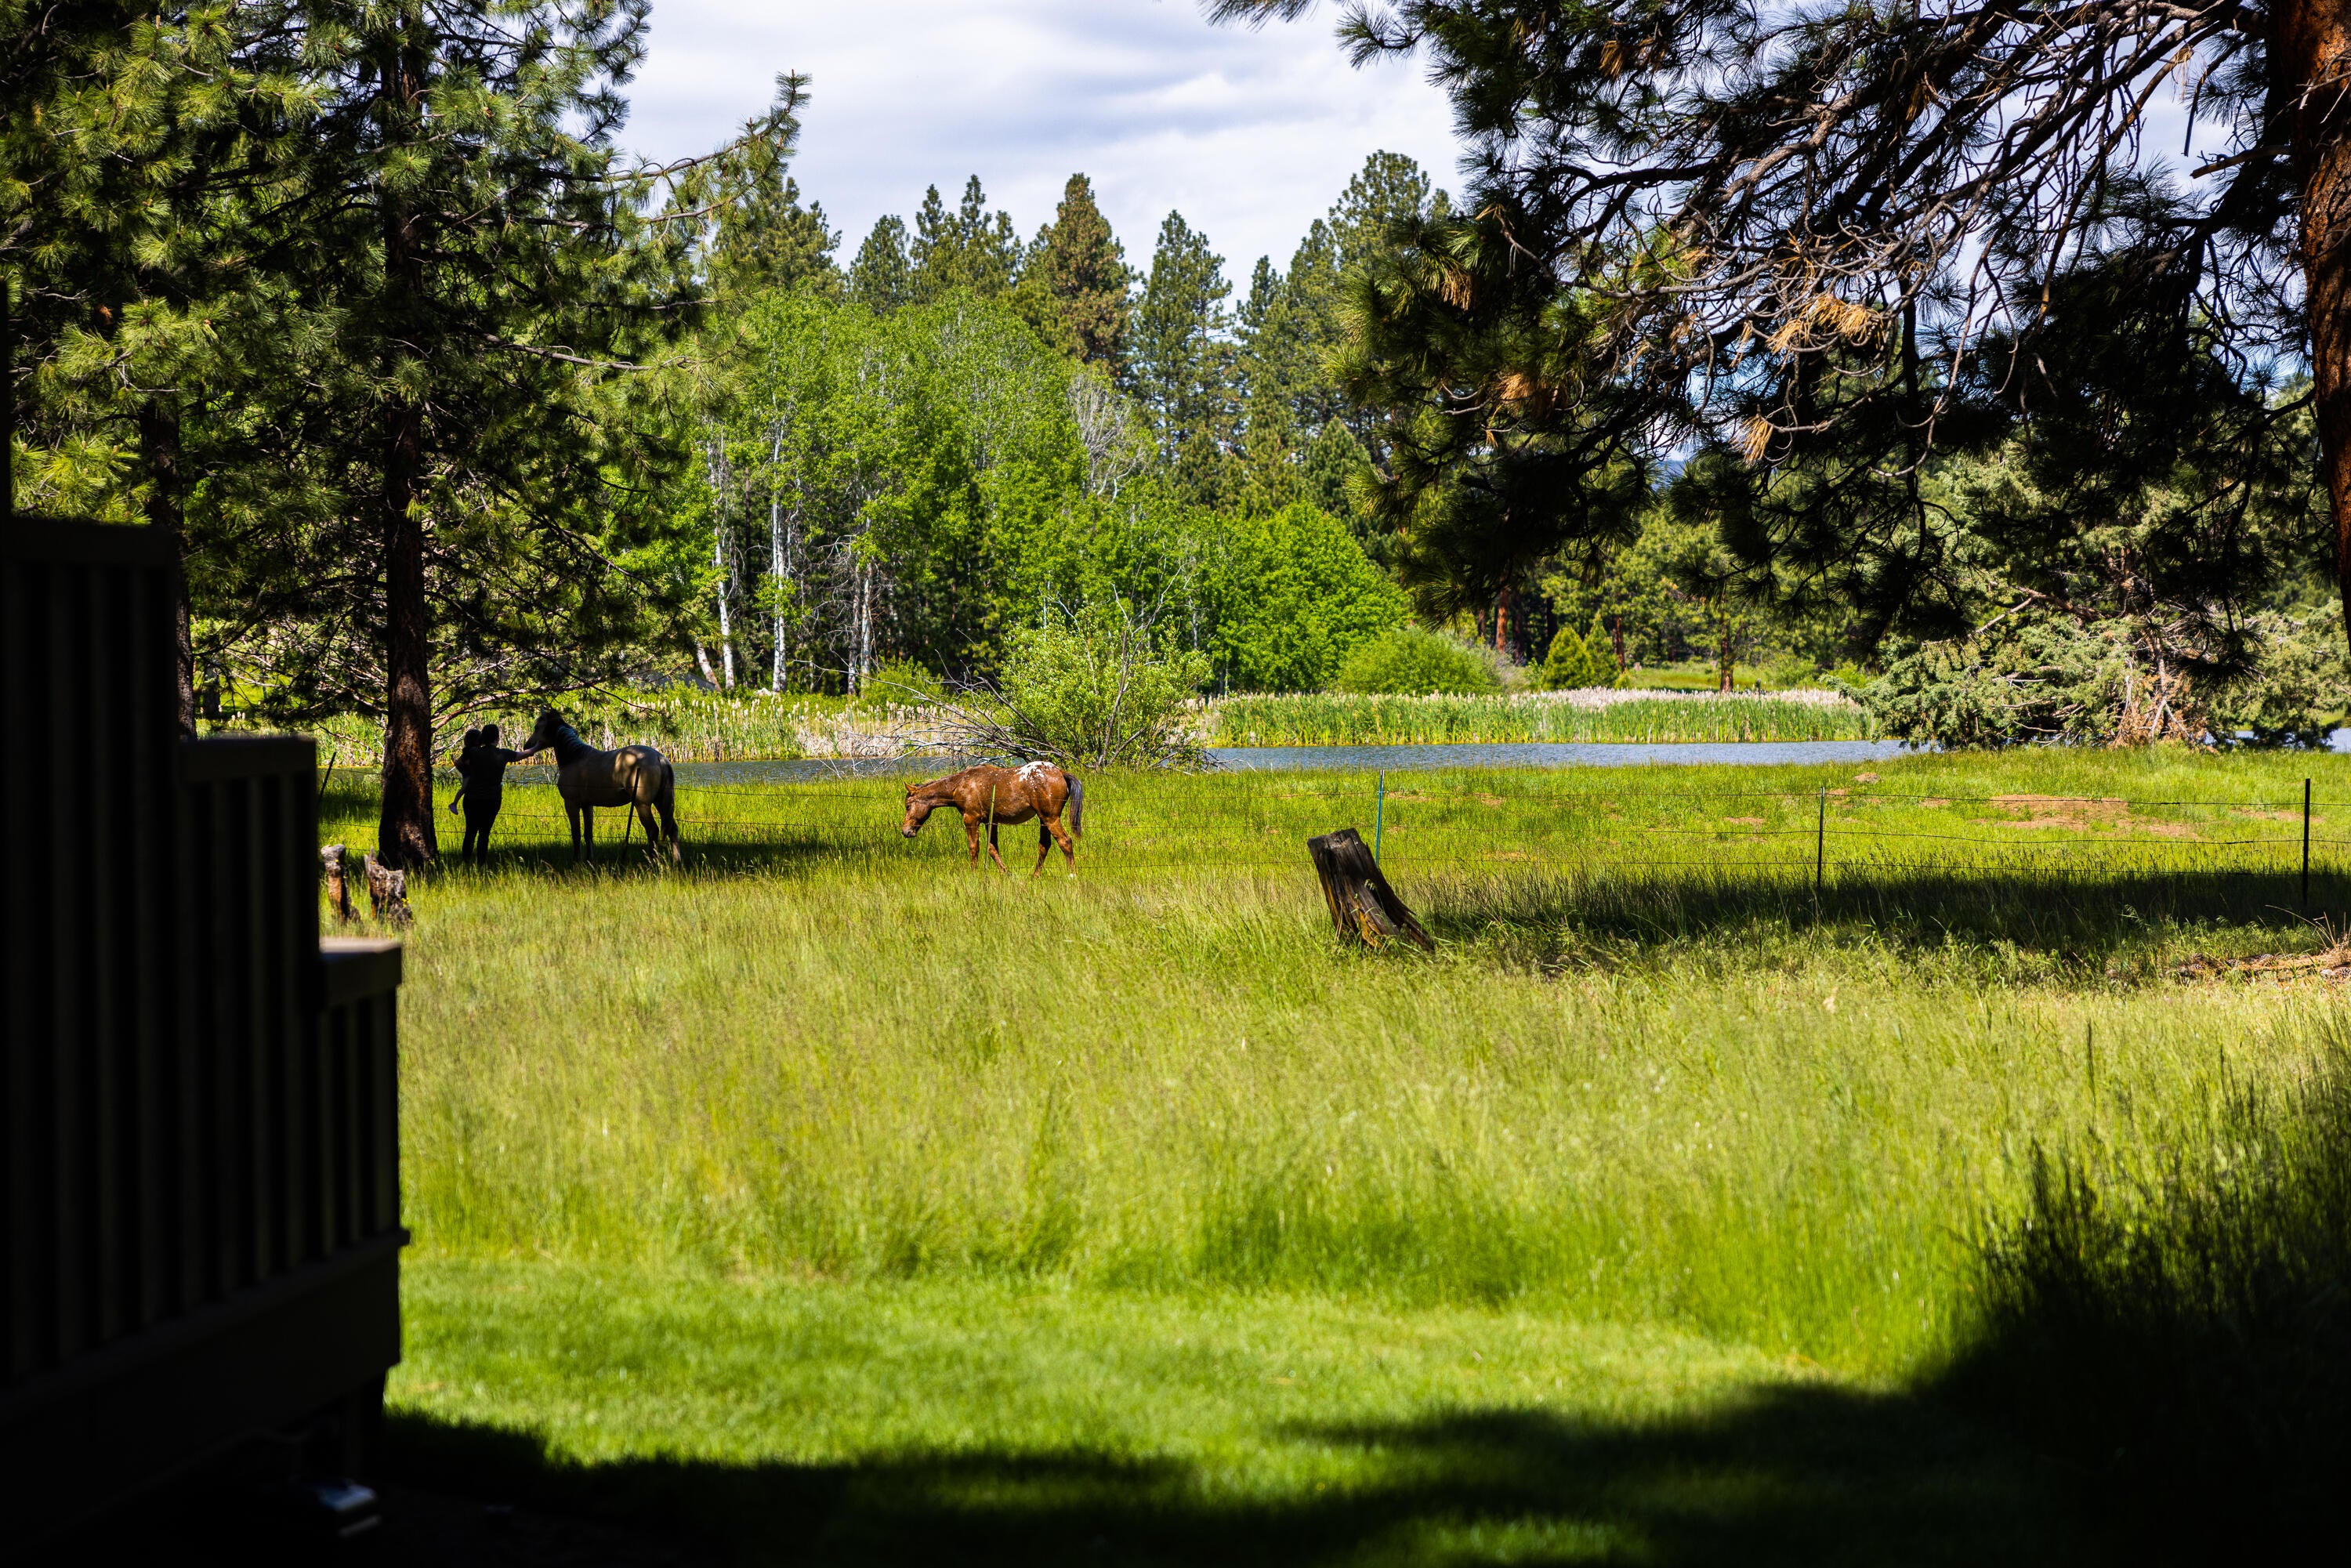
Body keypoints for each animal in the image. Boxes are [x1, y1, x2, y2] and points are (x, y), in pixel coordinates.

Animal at [518, 709, 683, 865]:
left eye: (537, 727)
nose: (527, 746)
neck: (575, 757)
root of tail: (659, 758)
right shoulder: (587, 805)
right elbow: (588, 834)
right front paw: (589, 860)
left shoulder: (571, 804)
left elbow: (576, 834)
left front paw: (577, 861)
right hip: (661, 802)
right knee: (672, 829)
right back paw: (677, 862)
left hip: (642, 805)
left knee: (653, 831)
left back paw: (652, 862)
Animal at [901, 761, 1083, 874]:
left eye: (908, 806)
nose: (905, 831)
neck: (959, 785)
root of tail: (1061, 773)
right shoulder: (991, 821)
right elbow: (992, 848)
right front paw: (1006, 873)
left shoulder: (970, 818)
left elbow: (974, 847)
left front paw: (973, 873)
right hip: (1043, 819)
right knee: (1044, 845)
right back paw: (1034, 876)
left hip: (1050, 818)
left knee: (1065, 841)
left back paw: (1072, 875)